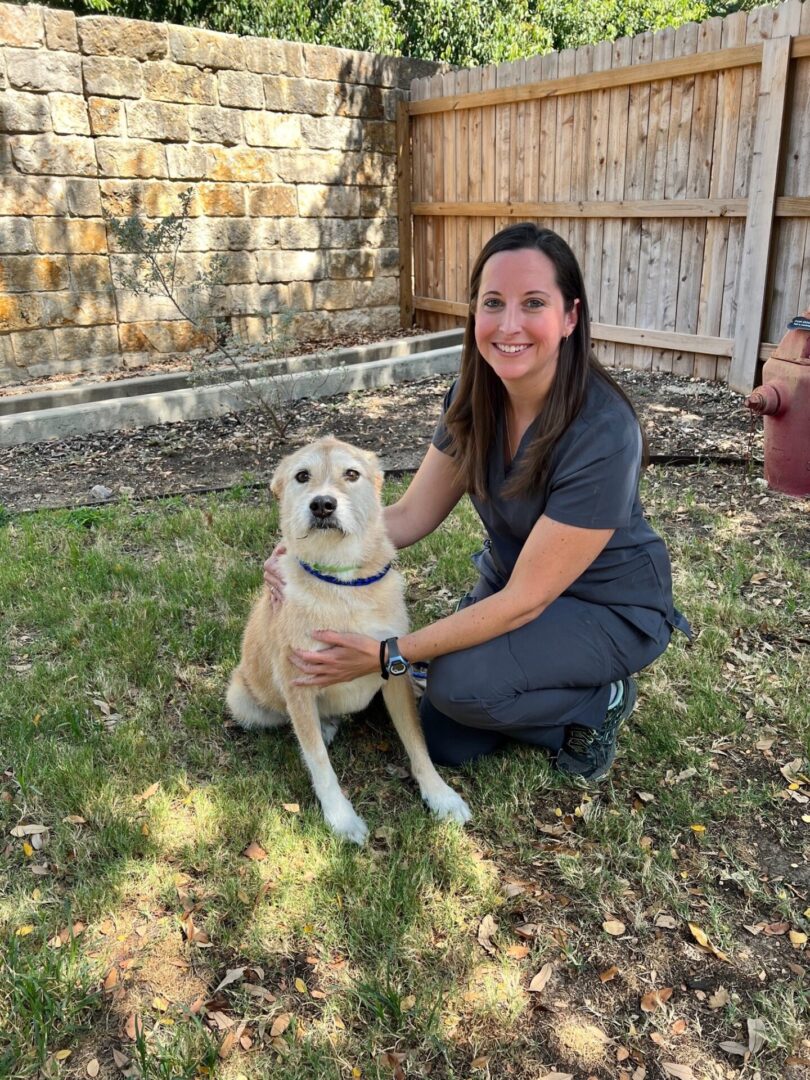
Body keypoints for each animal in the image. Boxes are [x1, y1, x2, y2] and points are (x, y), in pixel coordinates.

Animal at [225, 436, 473, 842]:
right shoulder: (298, 683)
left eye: (351, 474)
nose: (323, 504)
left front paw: (439, 795)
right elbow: (319, 763)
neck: (341, 582)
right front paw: (341, 818)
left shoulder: (395, 671)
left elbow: (417, 742)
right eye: (302, 476)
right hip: (242, 698)